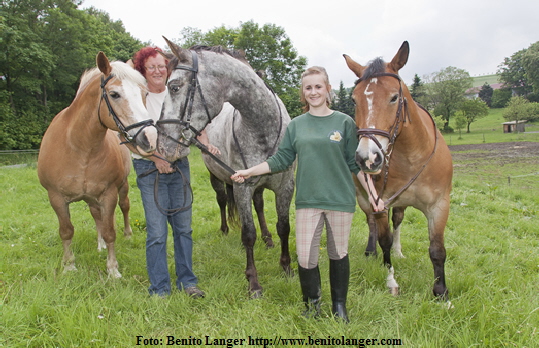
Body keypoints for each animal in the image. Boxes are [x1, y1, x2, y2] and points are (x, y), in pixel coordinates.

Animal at [36, 52, 156, 278]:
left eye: (145, 93)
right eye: (114, 94)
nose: (150, 138)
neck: (80, 147)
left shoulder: (108, 195)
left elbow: (110, 232)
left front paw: (113, 270)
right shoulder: (55, 198)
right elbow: (66, 231)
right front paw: (69, 266)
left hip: (122, 187)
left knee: (123, 207)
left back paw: (126, 235)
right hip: (90, 197)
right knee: (95, 215)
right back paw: (99, 245)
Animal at [156, 38, 296, 300]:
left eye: (174, 87)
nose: (162, 145)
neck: (263, 126)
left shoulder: (285, 186)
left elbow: (284, 227)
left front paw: (287, 268)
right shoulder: (242, 186)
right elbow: (248, 232)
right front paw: (254, 283)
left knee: (259, 206)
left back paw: (267, 238)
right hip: (217, 178)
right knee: (223, 201)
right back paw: (225, 229)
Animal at [344, 42, 454, 300]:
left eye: (394, 97)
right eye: (354, 100)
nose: (367, 158)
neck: (411, 156)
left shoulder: (440, 205)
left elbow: (437, 249)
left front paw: (441, 292)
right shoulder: (378, 200)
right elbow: (383, 239)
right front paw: (390, 279)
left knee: (398, 220)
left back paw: (398, 250)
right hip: (364, 197)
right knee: (372, 223)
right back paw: (371, 251)